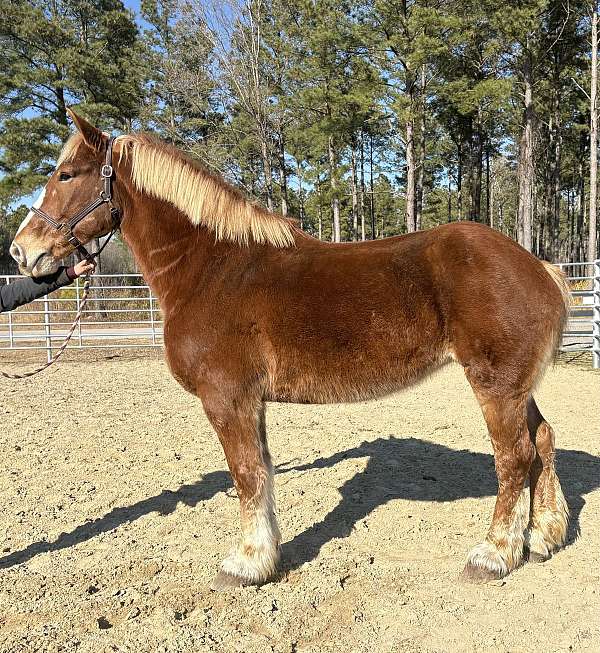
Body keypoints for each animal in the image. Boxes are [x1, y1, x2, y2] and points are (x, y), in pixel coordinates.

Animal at [10, 109, 570, 590]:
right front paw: (264, 556)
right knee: (541, 441)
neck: (212, 268)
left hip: (494, 384)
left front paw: (246, 565)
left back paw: (494, 554)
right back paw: (543, 537)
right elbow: (261, 471)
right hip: (517, 388)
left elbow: (245, 474)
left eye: (66, 174)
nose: (22, 250)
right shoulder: (250, 402)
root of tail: (540, 268)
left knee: (514, 457)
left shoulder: (227, 398)